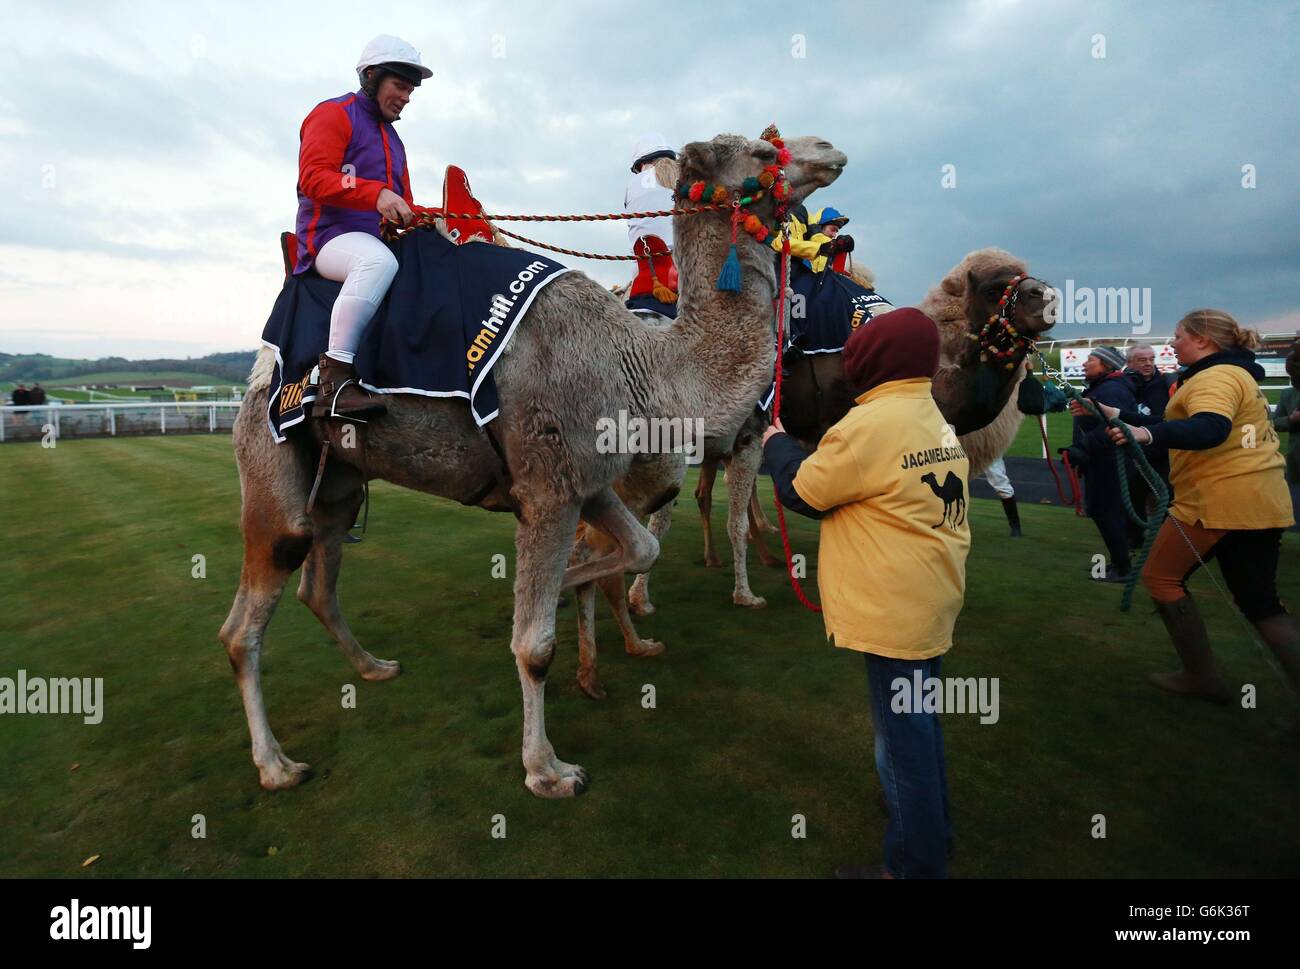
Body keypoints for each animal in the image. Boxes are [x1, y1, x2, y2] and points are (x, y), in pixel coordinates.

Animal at [218, 130, 847, 796]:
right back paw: (277, 765)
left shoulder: (587, 482)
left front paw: (579, 590)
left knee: (319, 581)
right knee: (249, 613)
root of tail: (261, 366)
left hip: (340, 476)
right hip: (269, 454)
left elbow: (639, 550)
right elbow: (535, 645)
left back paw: (374, 667)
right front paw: (547, 768)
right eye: (763, 152)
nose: (829, 149)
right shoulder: (549, 489)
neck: (641, 366)